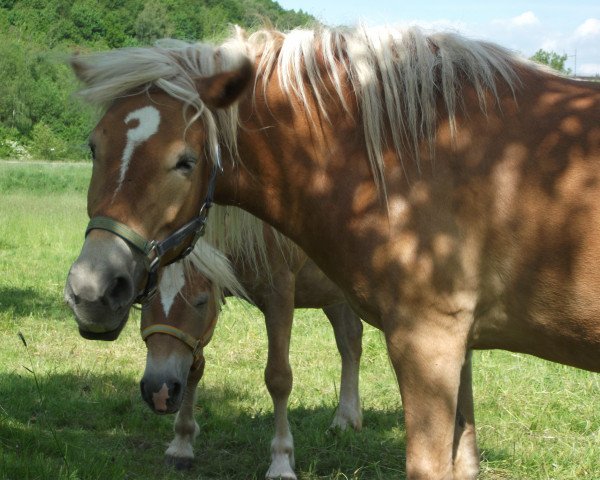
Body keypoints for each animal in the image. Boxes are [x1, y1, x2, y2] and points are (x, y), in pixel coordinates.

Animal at [140, 212, 360, 478]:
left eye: (201, 302)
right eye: (143, 300)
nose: (159, 391)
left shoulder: (280, 296)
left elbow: (278, 379)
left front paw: (281, 461)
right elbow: (193, 371)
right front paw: (181, 445)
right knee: (350, 341)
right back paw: (345, 421)